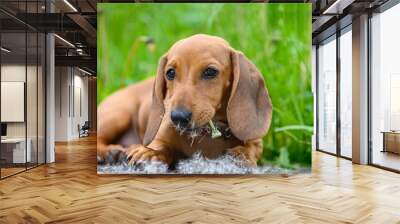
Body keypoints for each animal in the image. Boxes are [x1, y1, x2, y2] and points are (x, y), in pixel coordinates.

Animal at [97, 33, 272, 166]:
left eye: (210, 72)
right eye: (170, 73)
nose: (178, 117)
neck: (205, 134)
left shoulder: (256, 142)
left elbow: (250, 150)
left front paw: (239, 154)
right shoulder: (160, 137)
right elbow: (161, 146)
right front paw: (150, 152)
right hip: (118, 114)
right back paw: (110, 151)